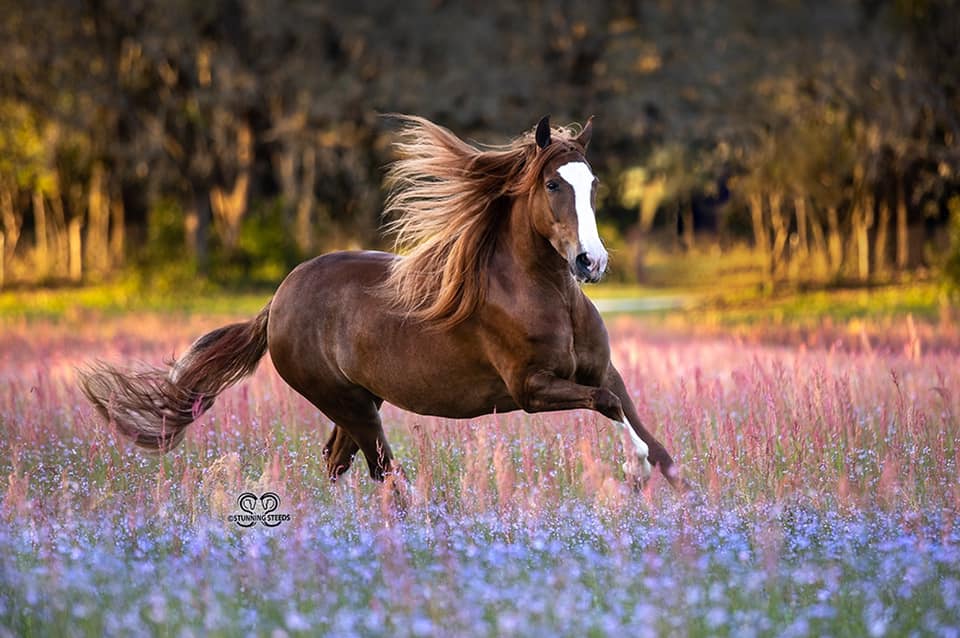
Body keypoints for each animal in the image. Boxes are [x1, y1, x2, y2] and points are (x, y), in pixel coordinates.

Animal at [80, 115, 684, 492]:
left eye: (593, 183)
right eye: (554, 185)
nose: (590, 262)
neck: (547, 297)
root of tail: (277, 301)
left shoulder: (601, 369)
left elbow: (640, 424)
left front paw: (676, 494)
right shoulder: (531, 390)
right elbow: (607, 405)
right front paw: (633, 473)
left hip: (359, 403)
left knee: (337, 463)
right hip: (351, 405)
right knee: (384, 475)